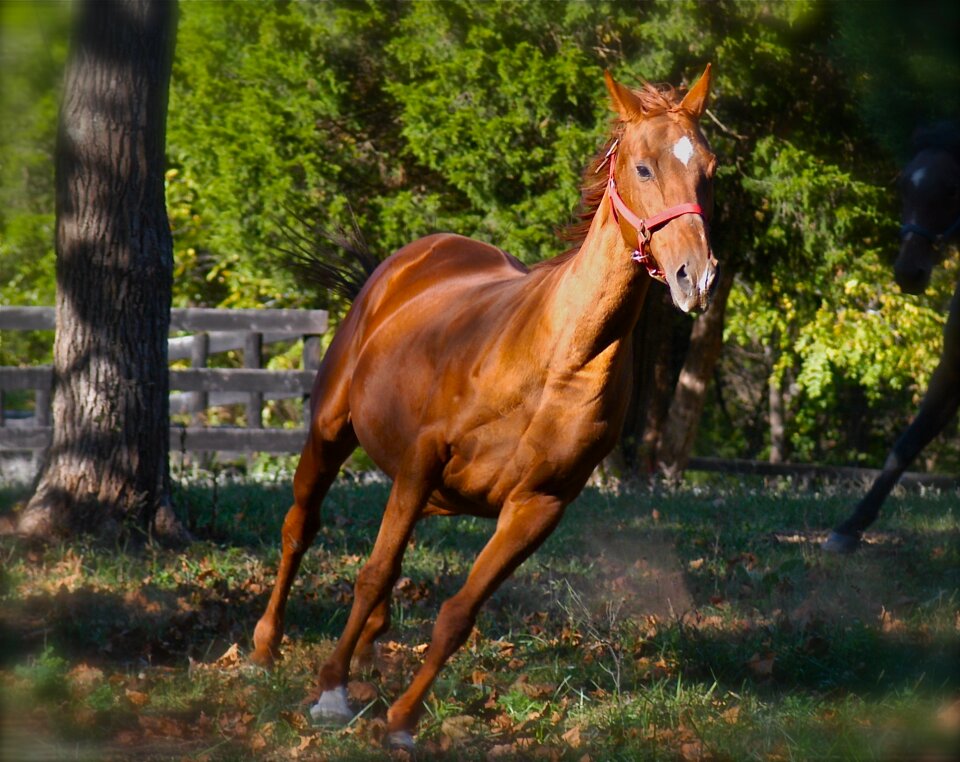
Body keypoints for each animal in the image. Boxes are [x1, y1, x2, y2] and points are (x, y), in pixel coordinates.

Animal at [251, 65, 716, 744]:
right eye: (644, 168)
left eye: (708, 167)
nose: (695, 278)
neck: (556, 362)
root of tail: (410, 258)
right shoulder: (421, 462)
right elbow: (373, 572)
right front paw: (332, 690)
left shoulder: (537, 508)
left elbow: (458, 613)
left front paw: (401, 720)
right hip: (332, 434)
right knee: (300, 529)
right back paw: (267, 645)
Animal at [824, 124, 960, 552]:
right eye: (904, 186)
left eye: (951, 187)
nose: (907, 272)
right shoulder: (950, 371)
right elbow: (907, 444)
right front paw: (849, 527)